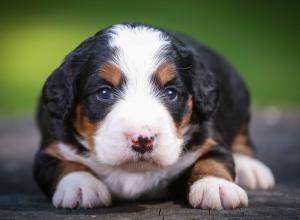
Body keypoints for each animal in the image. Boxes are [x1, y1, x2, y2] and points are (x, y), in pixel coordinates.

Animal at [32, 22, 274, 210]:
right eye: (104, 93)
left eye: (170, 93)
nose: (142, 139)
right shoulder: (51, 149)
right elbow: (65, 165)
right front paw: (81, 186)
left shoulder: (208, 138)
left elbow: (214, 159)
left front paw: (216, 186)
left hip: (238, 94)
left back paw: (250, 168)